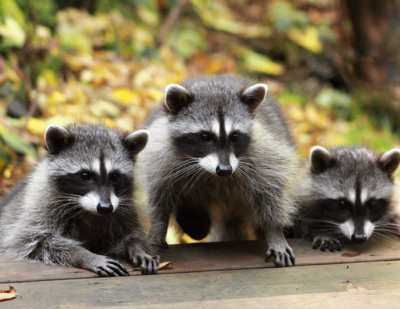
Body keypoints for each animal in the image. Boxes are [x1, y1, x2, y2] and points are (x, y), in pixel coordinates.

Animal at [0, 122, 159, 274]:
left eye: (115, 176)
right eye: (84, 175)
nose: (105, 208)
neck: (88, 210)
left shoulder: (124, 211)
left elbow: (131, 235)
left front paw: (137, 248)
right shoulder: (40, 208)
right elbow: (36, 241)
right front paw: (86, 255)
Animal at [138, 75, 304, 268]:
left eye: (235, 136)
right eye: (204, 136)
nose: (225, 170)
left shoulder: (264, 152)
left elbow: (271, 190)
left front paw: (274, 231)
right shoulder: (159, 154)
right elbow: (159, 196)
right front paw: (158, 228)